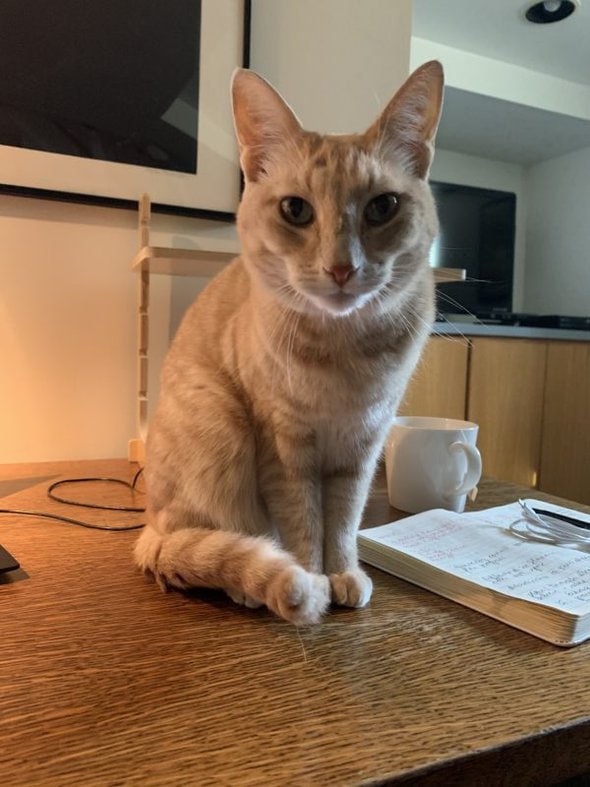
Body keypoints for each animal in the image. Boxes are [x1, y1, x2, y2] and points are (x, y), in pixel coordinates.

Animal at [135, 61, 444, 624]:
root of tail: (149, 526)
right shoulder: (284, 442)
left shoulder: (362, 445)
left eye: (383, 207)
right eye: (296, 210)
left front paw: (343, 572)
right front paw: (312, 578)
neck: (344, 352)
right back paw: (249, 580)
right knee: (196, 543)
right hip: (219, 423)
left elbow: (342, 520)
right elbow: (303, 521)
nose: (342, 268)